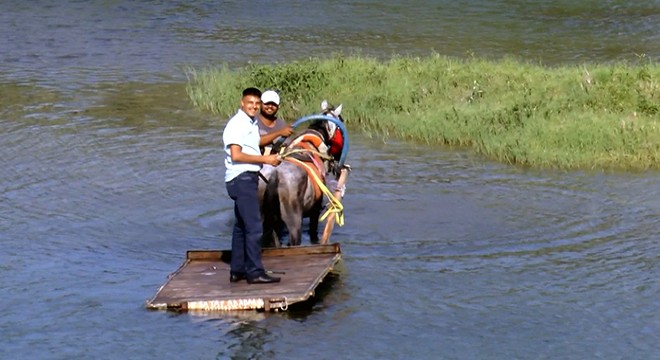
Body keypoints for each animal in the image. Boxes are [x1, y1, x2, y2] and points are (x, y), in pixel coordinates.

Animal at [258, 101, 346, 248]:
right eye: (341, 121)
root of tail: (274, 177)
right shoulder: (315, 210)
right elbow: (313, 233)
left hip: (267, 221)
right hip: (294, 222)